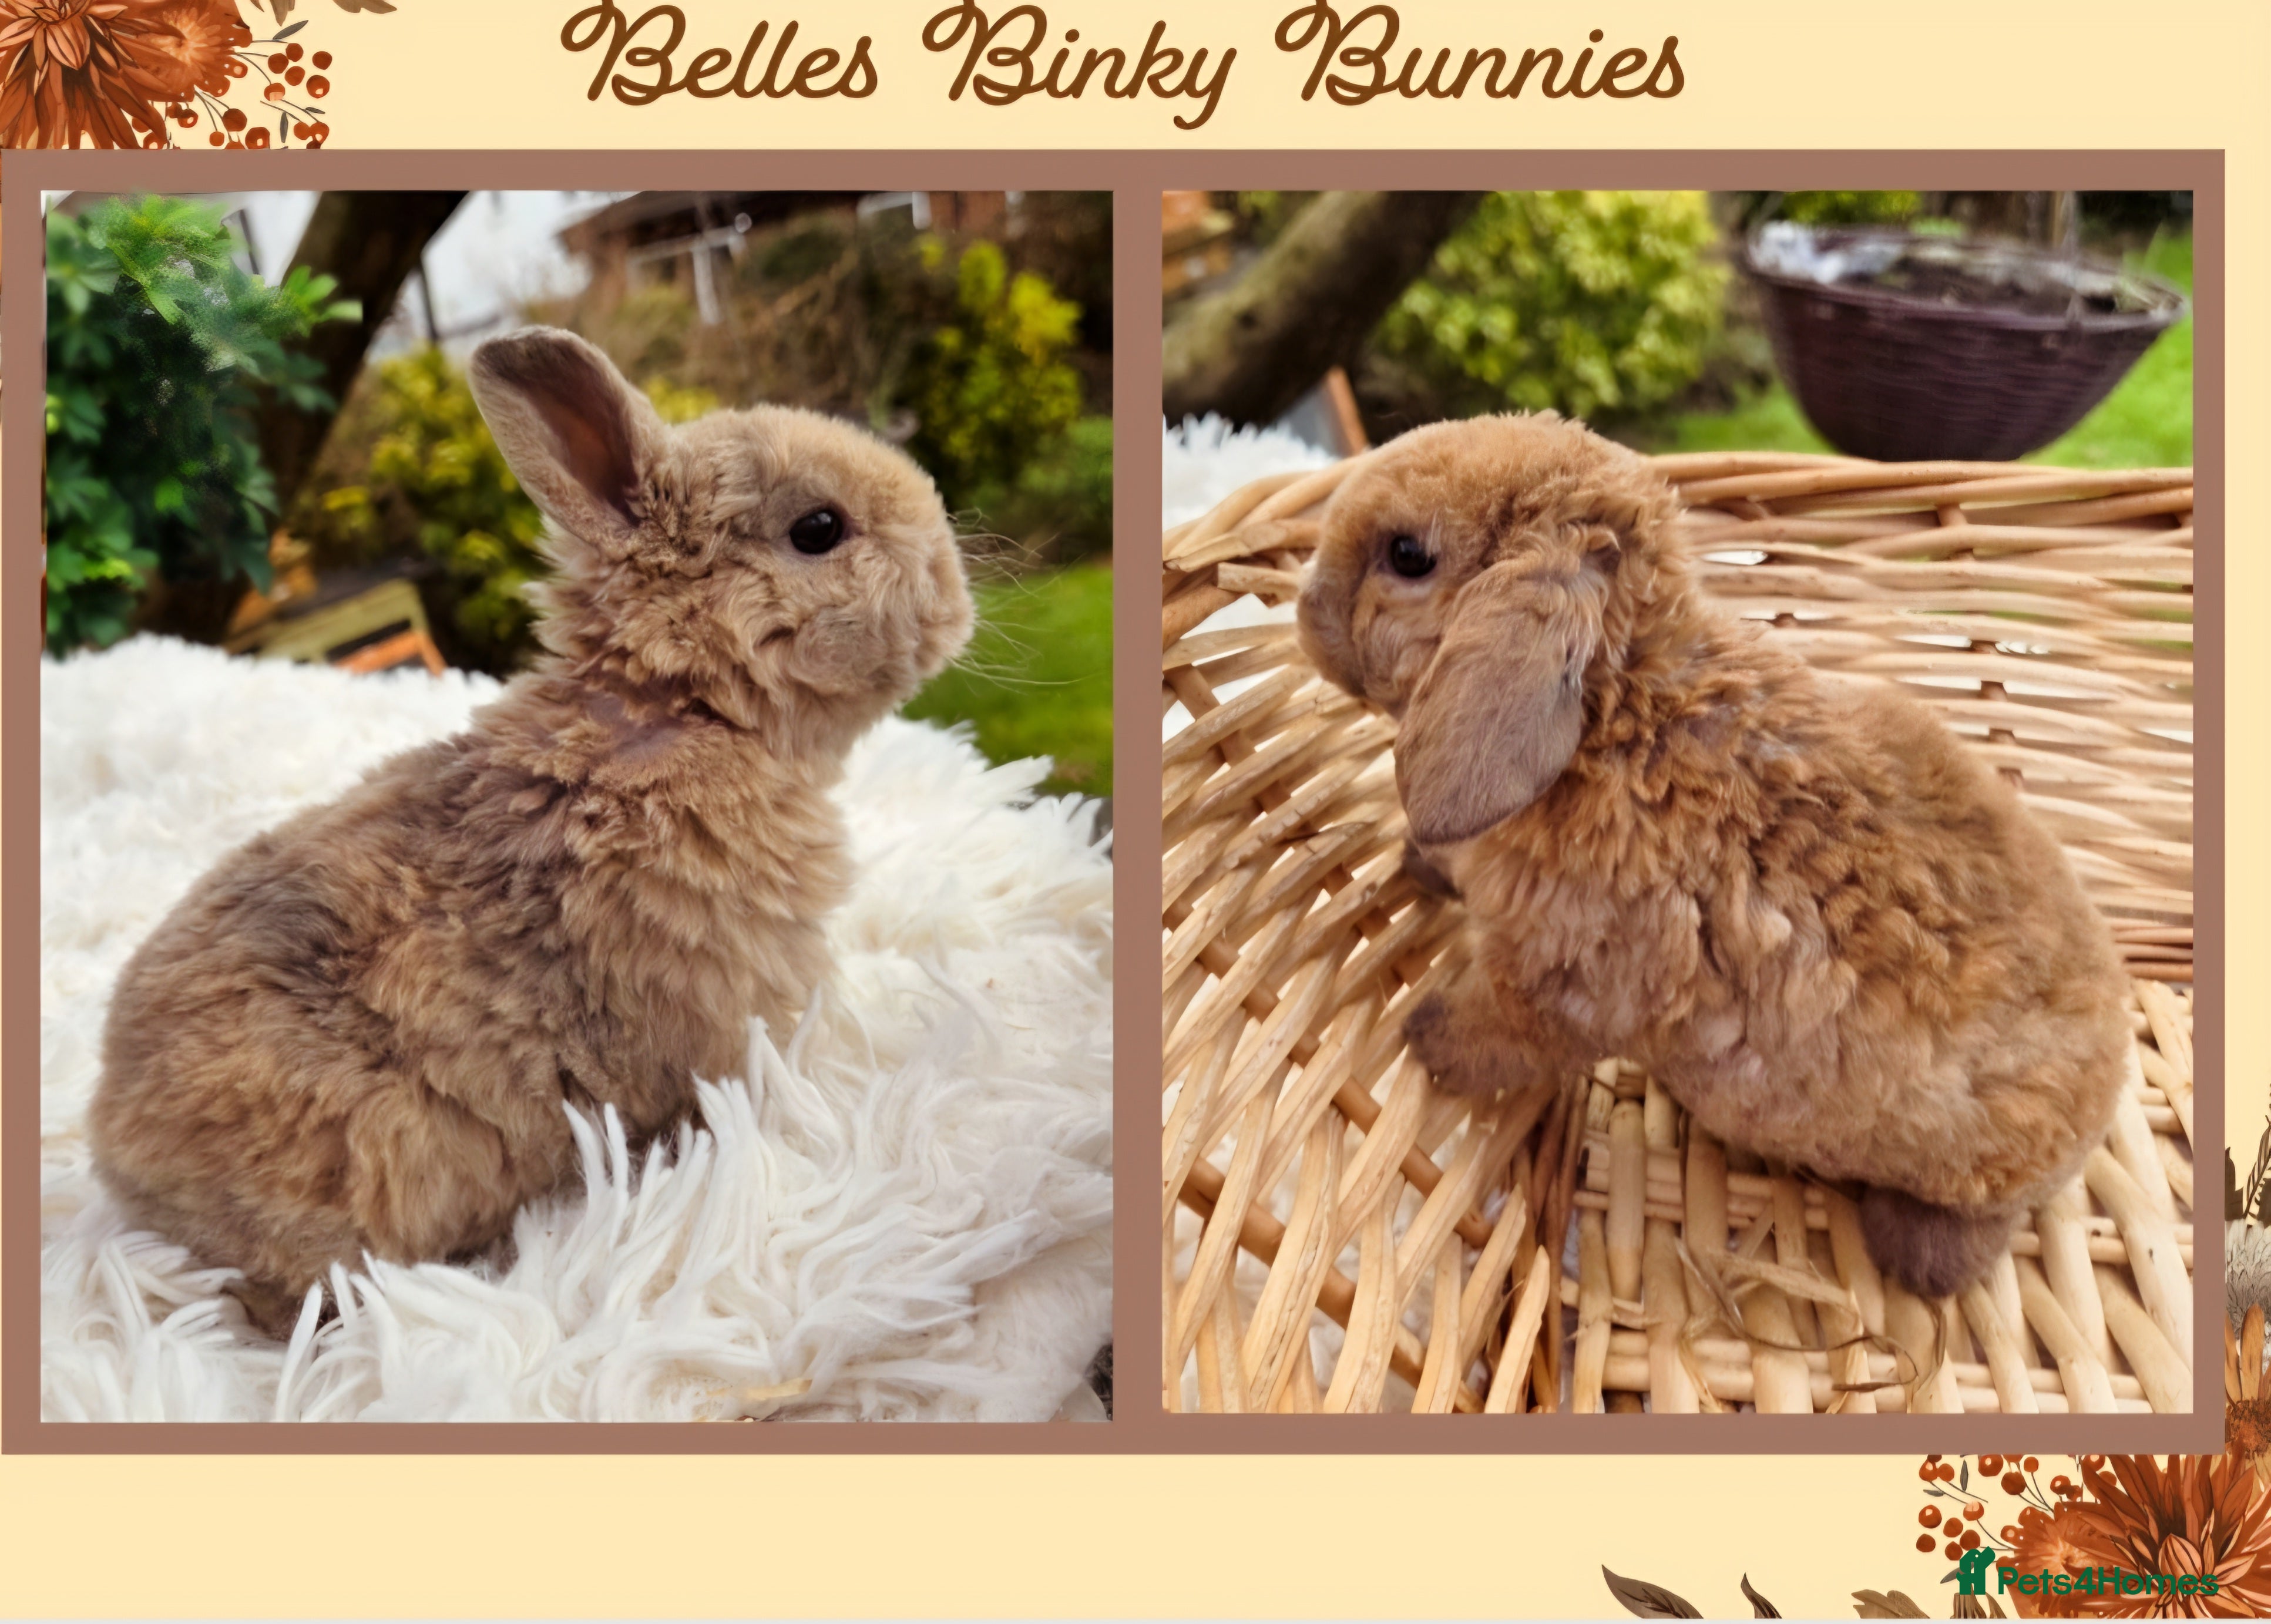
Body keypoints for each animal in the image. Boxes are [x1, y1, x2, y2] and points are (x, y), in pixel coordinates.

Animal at [1296, 412, 2134, 1300]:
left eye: (1406, 556)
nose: (1304, 608)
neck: (1620, 716)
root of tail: (2114, 1060)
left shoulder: (1564, 989)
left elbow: (1496, 1029)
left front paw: (1424, 1036)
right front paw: (1421, 860)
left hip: (1979, 1167)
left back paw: (1915, 1255)